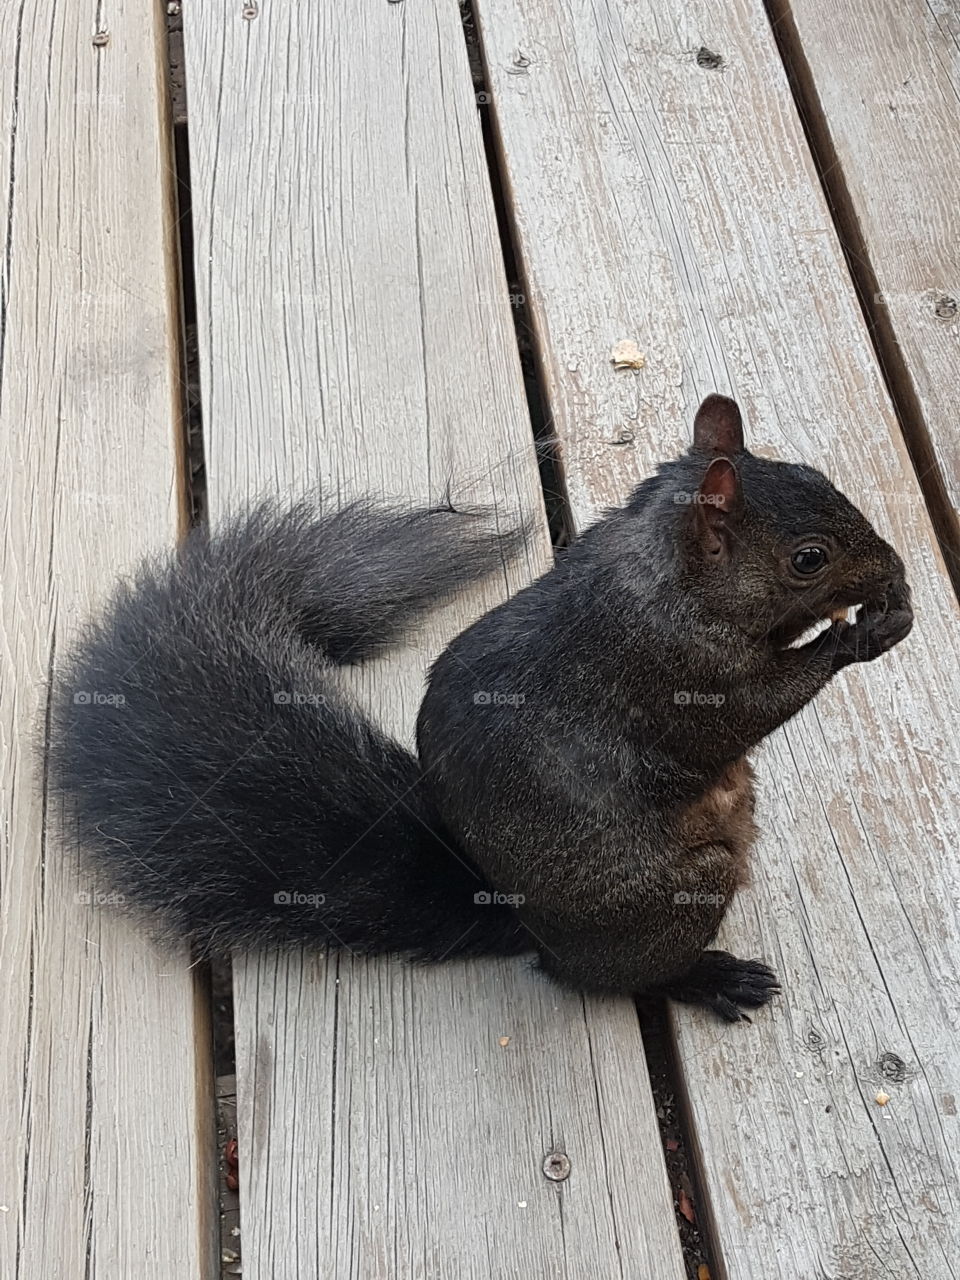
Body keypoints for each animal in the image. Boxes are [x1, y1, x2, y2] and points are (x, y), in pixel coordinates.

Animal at [50, 394, 912, 1021]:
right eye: (808, 559)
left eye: (822, 477)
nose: (895, 568)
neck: (667, 573)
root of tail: (526, 923)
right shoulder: (677, 667)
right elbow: (752, 707)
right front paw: (860, 633)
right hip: (676, 895)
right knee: (616, 979)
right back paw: (707, 978)